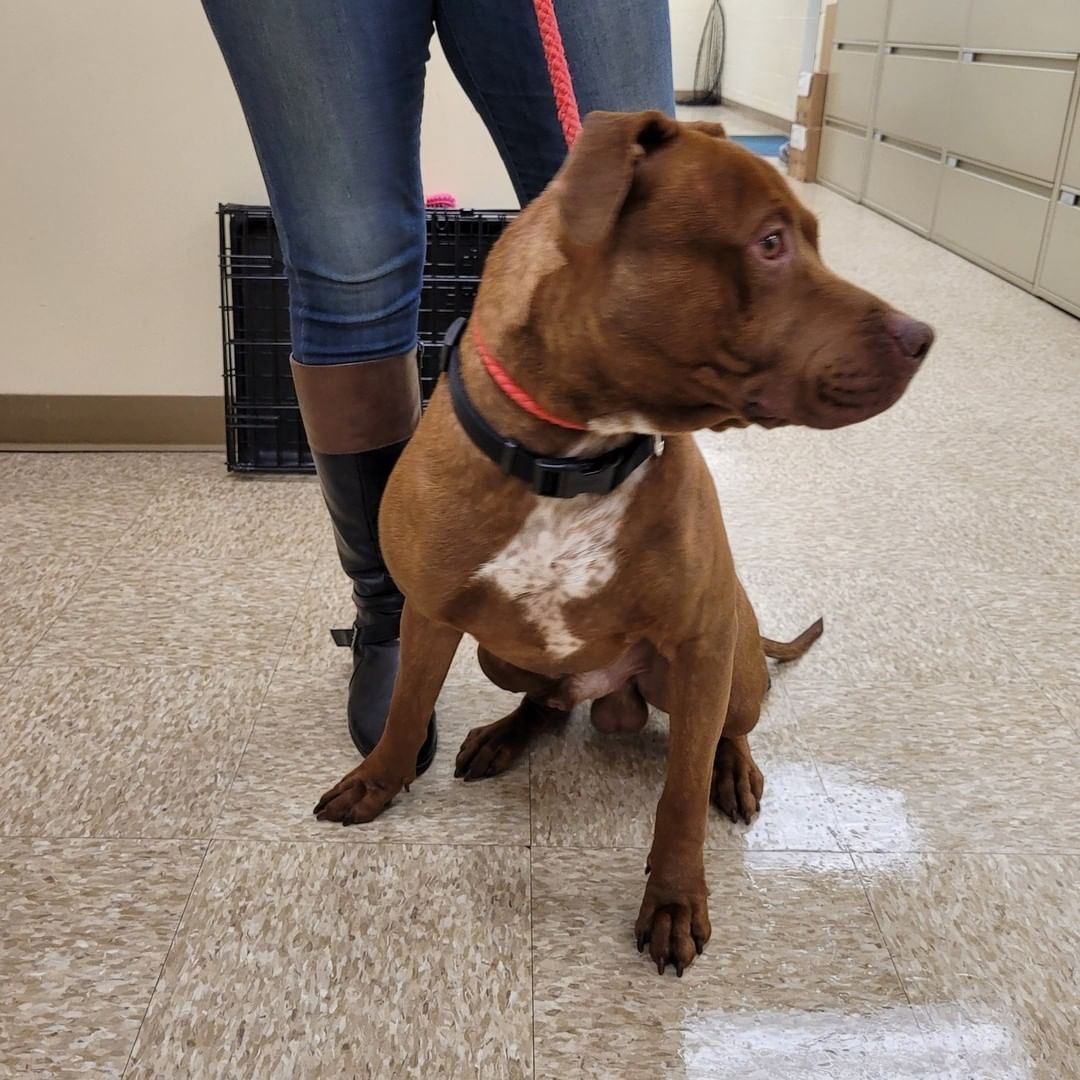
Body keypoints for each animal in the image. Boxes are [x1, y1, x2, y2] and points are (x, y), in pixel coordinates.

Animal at [315, 113, 937, 976]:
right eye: (771, 243)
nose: (923, 336)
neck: (573, 456)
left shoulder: (699, 644)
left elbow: (678, 797)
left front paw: (674, 899)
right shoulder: (431, 615)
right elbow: (407, 708)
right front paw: (378, 781)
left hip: (726, 668)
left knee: (728, 729)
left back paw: (732, 770)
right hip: (499, 654)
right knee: (546, 702)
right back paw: (504, 735)